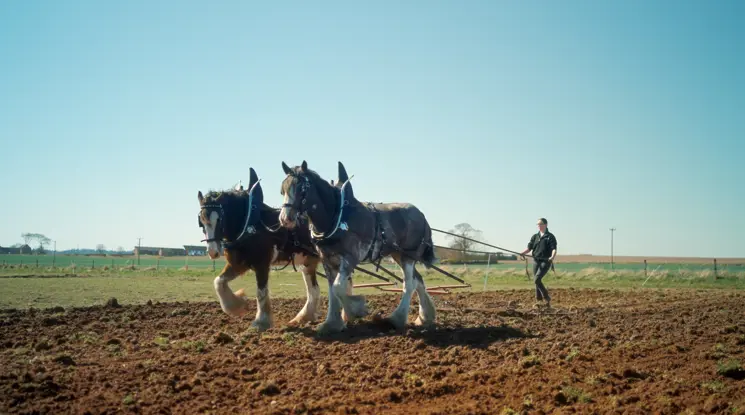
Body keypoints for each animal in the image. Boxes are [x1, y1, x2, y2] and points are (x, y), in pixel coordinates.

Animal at [197, 167, 322, 331]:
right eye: (201, 221)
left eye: (219, 219)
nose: (213, 251)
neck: (248, 224)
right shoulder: (238, 264)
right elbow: (218, 282)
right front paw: (238, 305)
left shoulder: (262, 264)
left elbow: (261, 292)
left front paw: (261, 321)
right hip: (308, 262)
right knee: (314, 290)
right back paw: (304, 317)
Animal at [277, 160, 437, 335]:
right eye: (282, 189)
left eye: (302, 189)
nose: (285, 219)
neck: (337, 217)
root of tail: (421, 215)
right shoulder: (328, 260)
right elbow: (332, 290)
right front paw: (332, 323)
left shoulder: (350, 258)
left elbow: (338, 288)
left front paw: (357, 309)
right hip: (398, 255)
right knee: (418, 280)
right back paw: (425, 317)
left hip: (408, 256)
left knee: (409, 284)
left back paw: (396, 319)